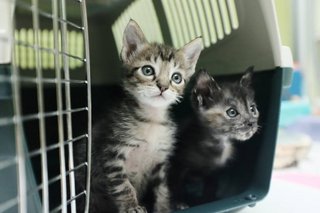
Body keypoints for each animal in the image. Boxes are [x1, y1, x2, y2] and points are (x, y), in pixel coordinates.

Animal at [75, 20, 202, 213]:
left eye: (176, 78)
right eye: (148, 70)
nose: (163, 87)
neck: (151, 119)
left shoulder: (160, 161)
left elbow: (162, 189)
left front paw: (164, 208)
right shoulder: (112, 153)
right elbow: (122, 185)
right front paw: (131, 206)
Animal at [169, 67, 258, 210]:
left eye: (252, 109)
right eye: (232, 112)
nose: (252, 123)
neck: (216, 143)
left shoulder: (215, 172)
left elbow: (211, 186)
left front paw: (208, 200)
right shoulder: (177, 166)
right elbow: (175, 185)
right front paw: (178, 202)